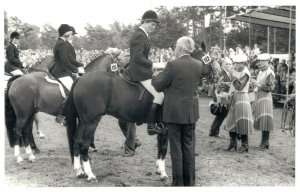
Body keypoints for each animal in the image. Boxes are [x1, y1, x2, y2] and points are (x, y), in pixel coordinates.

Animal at [63, 47, 218, 182]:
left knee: (76, 140)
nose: (215, 74)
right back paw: (90, 175)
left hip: (83, 122)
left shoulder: (162, 129)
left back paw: (79, 171)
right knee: (84, 145)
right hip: (91, 122)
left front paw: (159, 169)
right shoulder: (166, 128)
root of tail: (81, 78)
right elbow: (163, 149)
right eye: (206, 58)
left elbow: (160, 149)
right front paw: (163, 173)